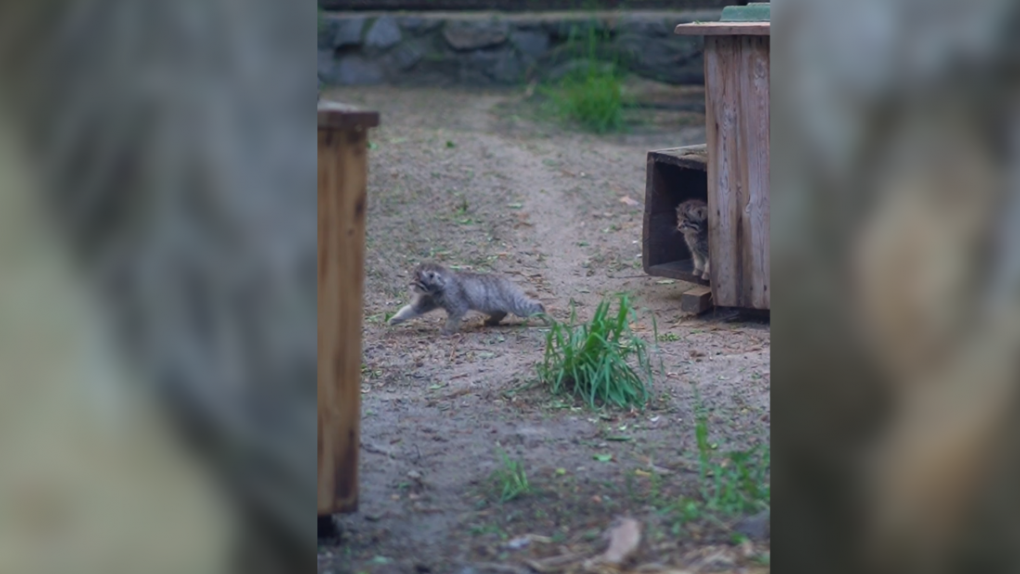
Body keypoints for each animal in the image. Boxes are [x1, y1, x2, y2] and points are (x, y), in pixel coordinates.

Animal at [389, 261, 550, 336]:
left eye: (417, 279)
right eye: (413, 277)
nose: (410, 283)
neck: (438, 290)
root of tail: (508, 281)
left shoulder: (457, 306)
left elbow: (453, 318)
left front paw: (447, 331)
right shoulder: (426, 301)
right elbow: (410, 310)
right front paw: (395, 318)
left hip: (514, 303)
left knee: (537, 305)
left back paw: (547, 319)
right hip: (489, 304)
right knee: (501, 312)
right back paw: (491, 321)